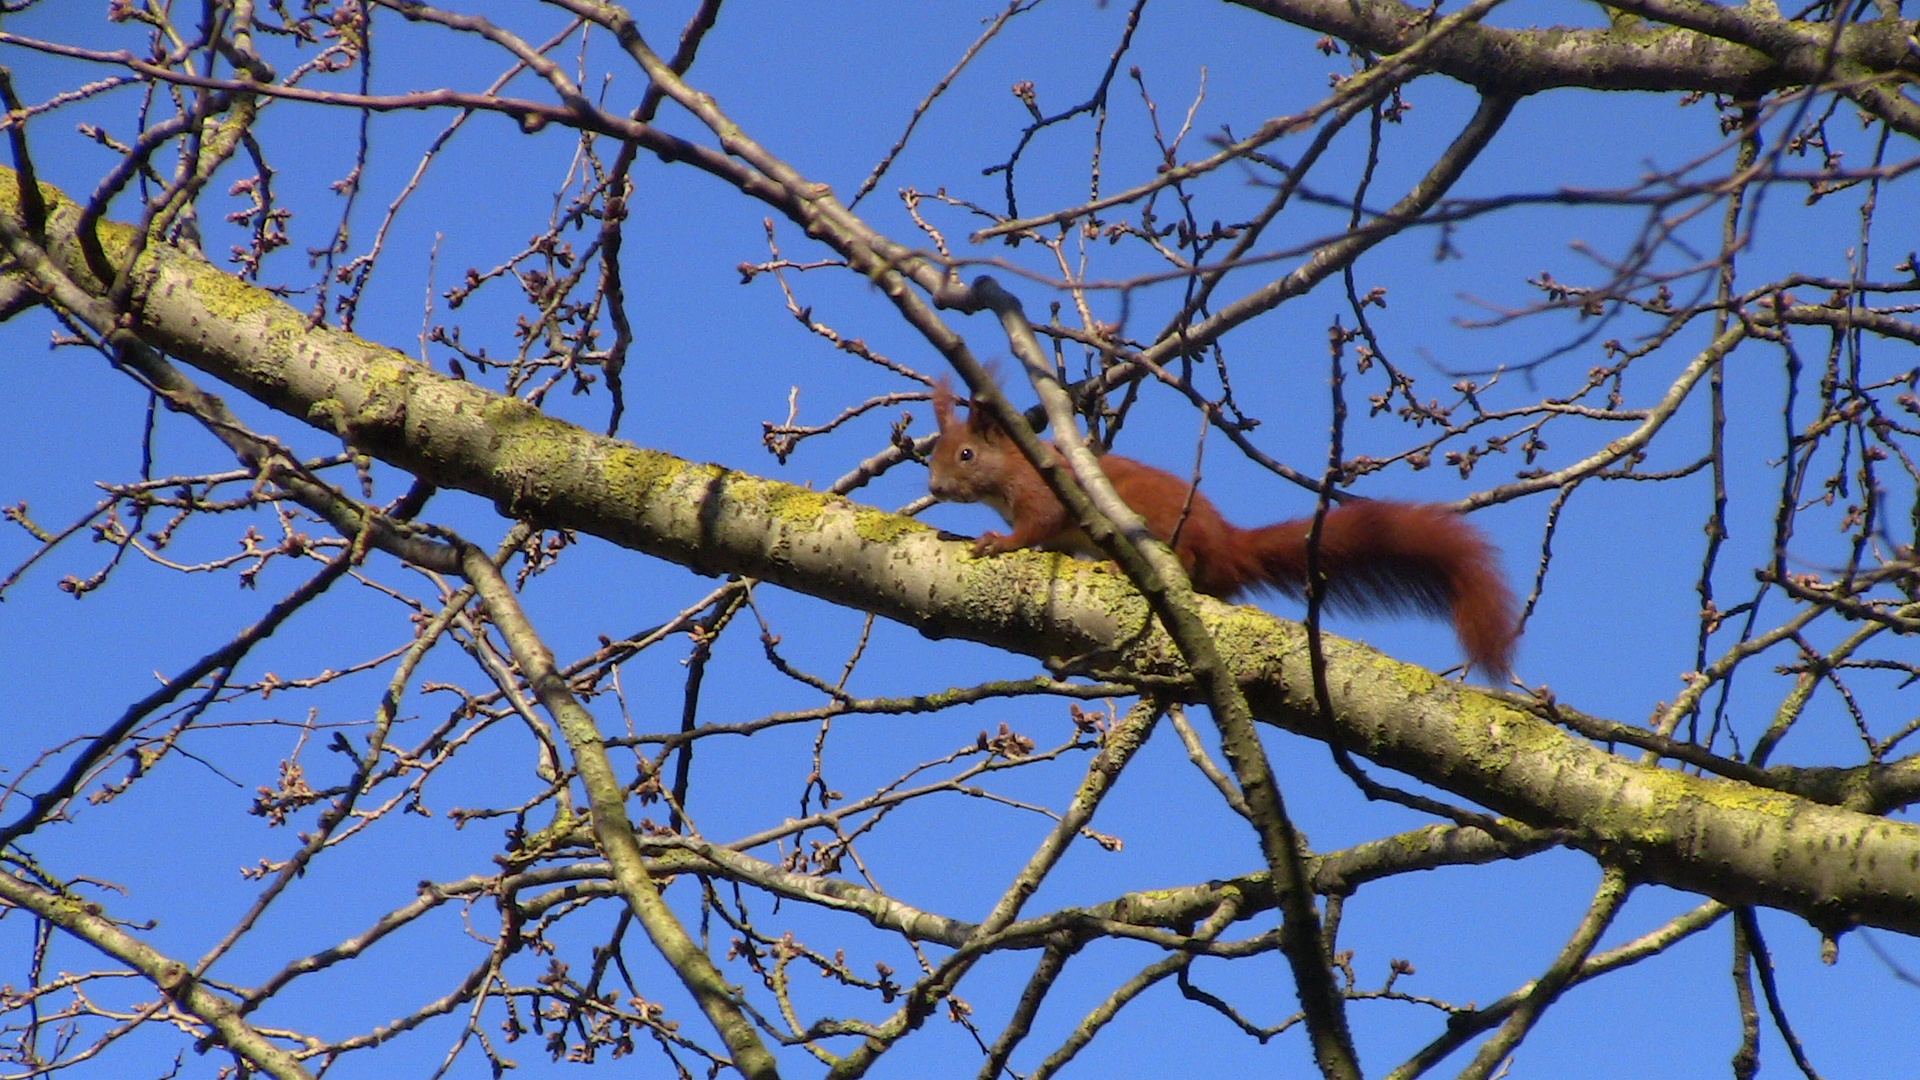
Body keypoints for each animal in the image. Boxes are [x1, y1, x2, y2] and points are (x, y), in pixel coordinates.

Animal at [925, 378, 1512, 676]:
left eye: (966, 454)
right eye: (935, 453)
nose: (933, 486)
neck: (1013, 469)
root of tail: (1227, 544)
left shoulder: (1042, 494)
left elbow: (1036, 527)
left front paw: (997, 543)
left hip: (1169, 532)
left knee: (1182, 561)